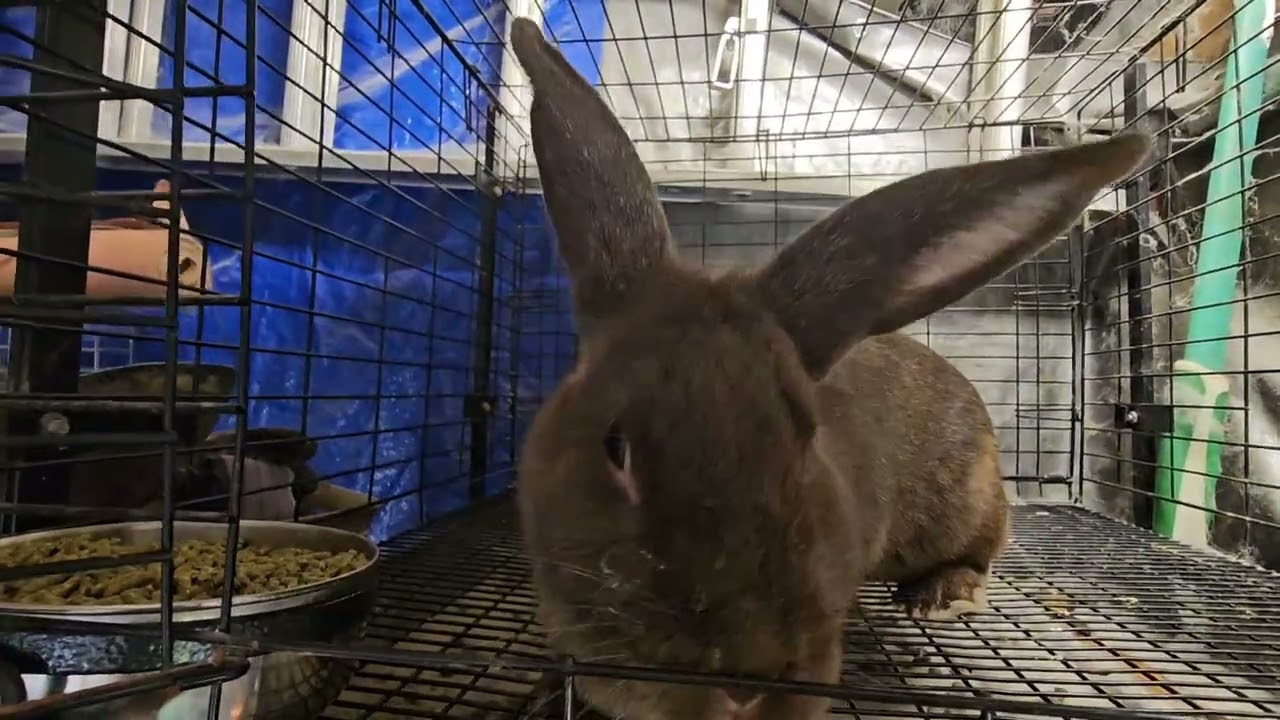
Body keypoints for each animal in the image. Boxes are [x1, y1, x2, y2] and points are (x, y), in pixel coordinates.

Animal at [508, 16, 1152, 720]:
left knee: (981, 553)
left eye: (804, 436)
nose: (747, 685)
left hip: (971, 503)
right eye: (615, 446)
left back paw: (942, 593)